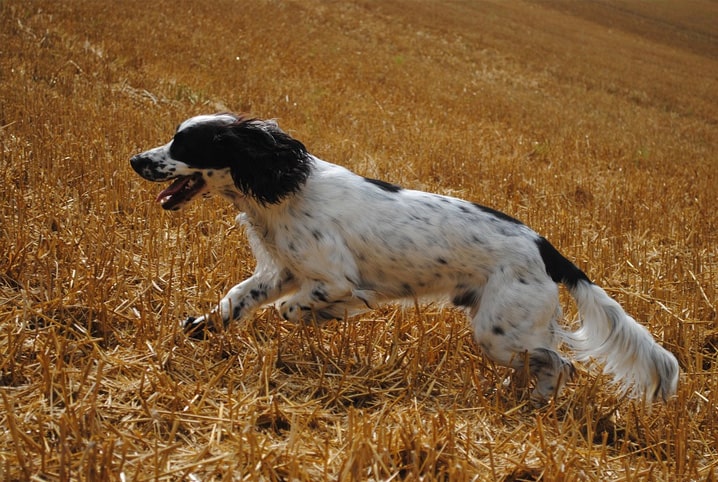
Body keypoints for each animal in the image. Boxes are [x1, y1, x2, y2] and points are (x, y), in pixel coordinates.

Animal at [131, 113, 680, 402]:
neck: (283, 185)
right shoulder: (283, 269)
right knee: (545, 361)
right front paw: (200, 327)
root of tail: (546, 248)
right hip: (501, 329)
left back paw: (535, 403)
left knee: (560, 365)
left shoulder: (333, 278)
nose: (136, 159)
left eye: (186, 143)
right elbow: (237, 298)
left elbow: (295, 309)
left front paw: (324, 320)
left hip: (500, 332)